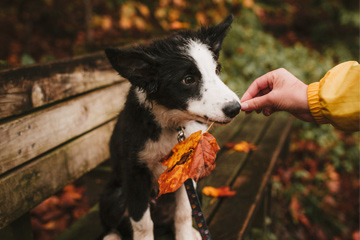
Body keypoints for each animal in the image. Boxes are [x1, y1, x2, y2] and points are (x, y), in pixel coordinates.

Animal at [100, 15, 242, 240]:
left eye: (217, 70)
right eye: (188, 79)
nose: (235, 108)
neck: (172, 126)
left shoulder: (188, 170)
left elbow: (184, 212)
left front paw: (185, 235)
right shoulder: (134, 175)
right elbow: (141, 223)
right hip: (113, 195)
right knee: (115, 224)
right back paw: (111, 236)